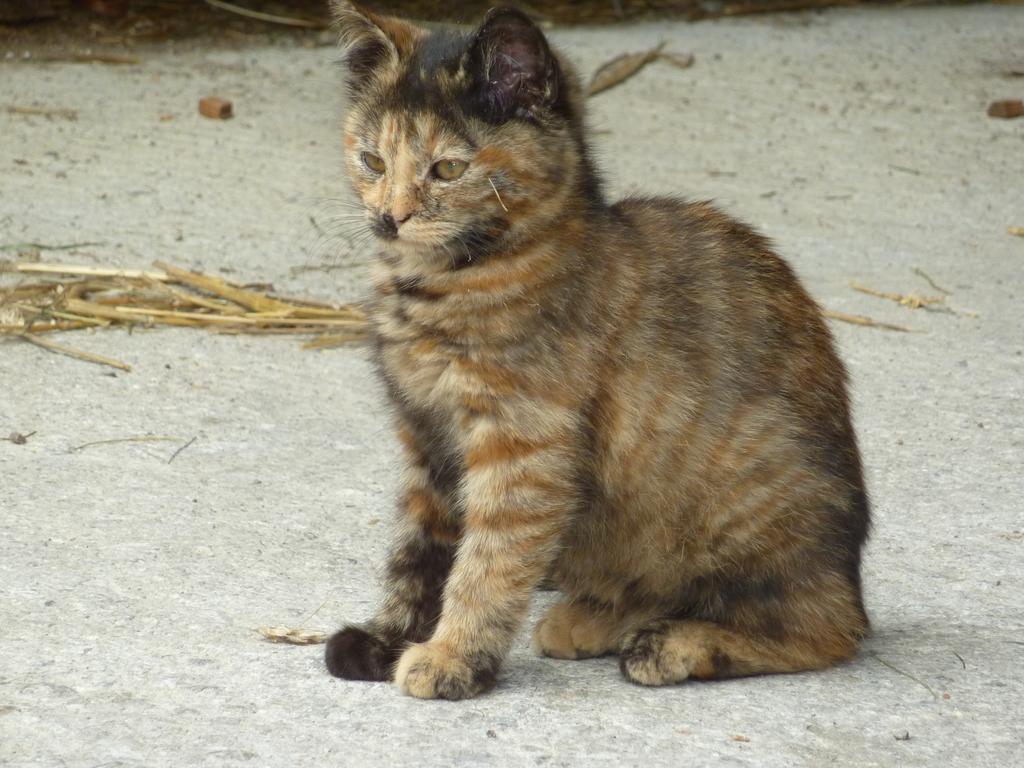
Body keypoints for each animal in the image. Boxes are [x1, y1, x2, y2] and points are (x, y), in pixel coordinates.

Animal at [323, 1, 868, 704]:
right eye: (372, 161)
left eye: (447, 169)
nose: (389, 218)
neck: (449, 282)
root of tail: (850, 568)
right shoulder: (427, 441)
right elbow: (419, 551)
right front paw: (388, 636)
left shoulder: (522, 451)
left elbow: (487, 562)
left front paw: (451, 656)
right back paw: (595, 619)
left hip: (742, 485)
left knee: (825, 626)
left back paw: (674, 645)